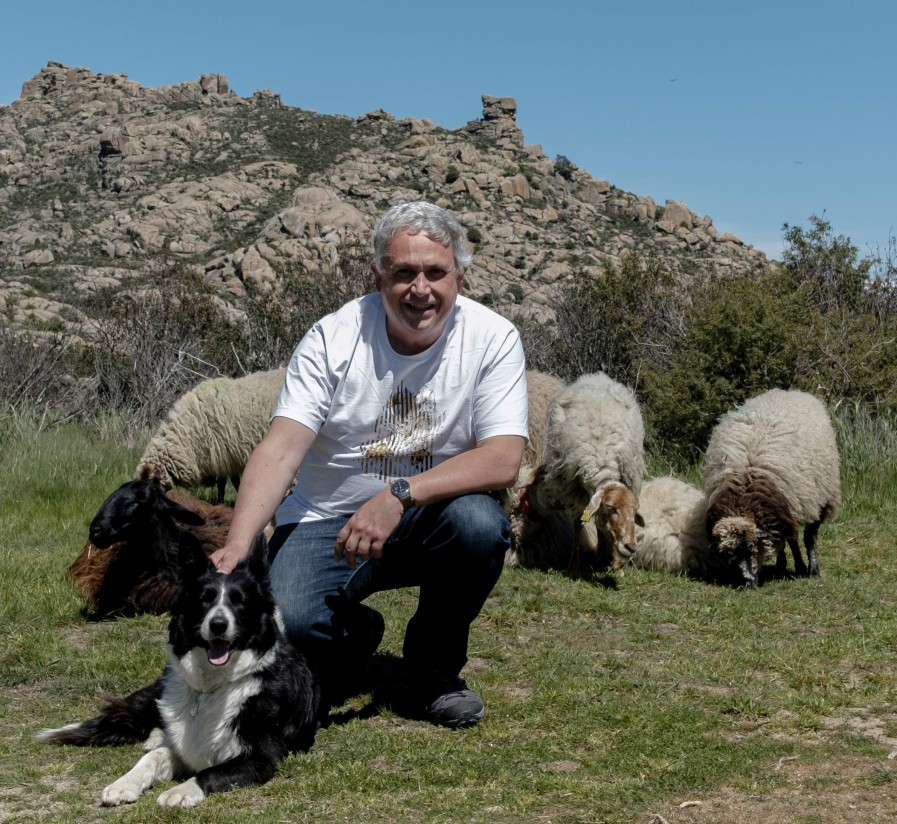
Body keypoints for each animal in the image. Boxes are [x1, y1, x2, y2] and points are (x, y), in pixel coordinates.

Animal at [136, 368, 288, 502]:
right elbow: (228, 482)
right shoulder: (226, 458)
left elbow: (227, 483)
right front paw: (221, 501)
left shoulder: (222, 454)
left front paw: (223, 502)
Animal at [520, 370, 644, 576]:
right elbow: (579, 525)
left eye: (635, 511)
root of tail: (597, 376)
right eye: (611, 508)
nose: (631, 548)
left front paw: (616, 566)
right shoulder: (574, 491)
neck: (602, 467)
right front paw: (574, 567)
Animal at [700, 388, 840, 584]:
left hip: (819, 494)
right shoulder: (779, 509)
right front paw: (785, 564)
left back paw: (809, 568)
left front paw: (808, 569)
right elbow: (785, 539)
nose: (748, 583)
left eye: (750, 547)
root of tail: (789, 392)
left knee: (808, 536)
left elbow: (802, 537)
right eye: (730, 554)